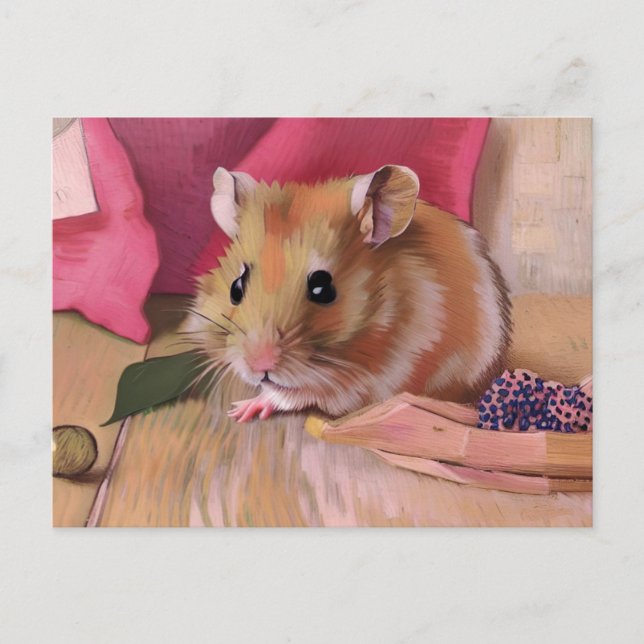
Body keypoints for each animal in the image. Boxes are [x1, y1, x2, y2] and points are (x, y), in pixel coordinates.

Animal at [182, 165, 512, 422]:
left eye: (323, 288)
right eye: (236, 288)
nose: (259, 365)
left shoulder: (365, 382)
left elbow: (292, 396)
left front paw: (242, 409)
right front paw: (240, 409)